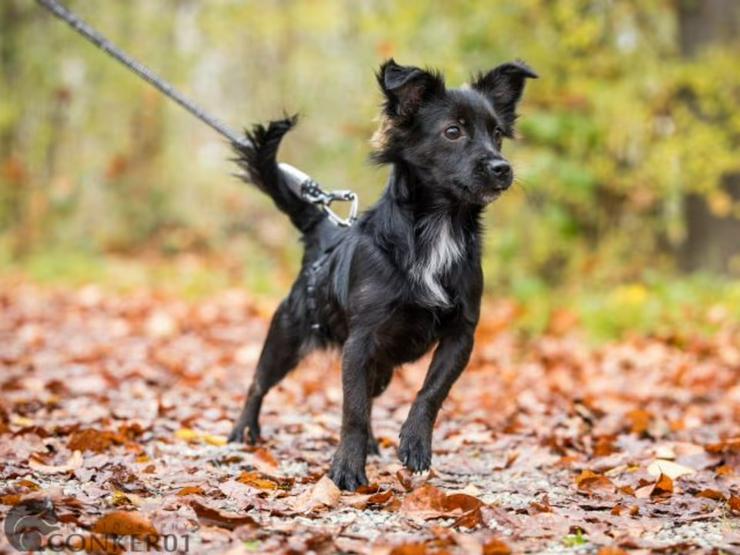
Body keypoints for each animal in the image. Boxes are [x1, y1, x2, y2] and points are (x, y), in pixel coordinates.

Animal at [228, 58, 536, 490]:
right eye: (453, 131)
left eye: (496, 135)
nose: (501, 168)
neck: (438, 229)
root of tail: (323, 234)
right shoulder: (361, 342)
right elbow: (353, 410)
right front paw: (346, 468)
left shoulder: (461, 334)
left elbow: (430, 392)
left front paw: (415, 443)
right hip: (286, 336)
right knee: (259, 383)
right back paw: (243, 430)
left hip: (381, 366)